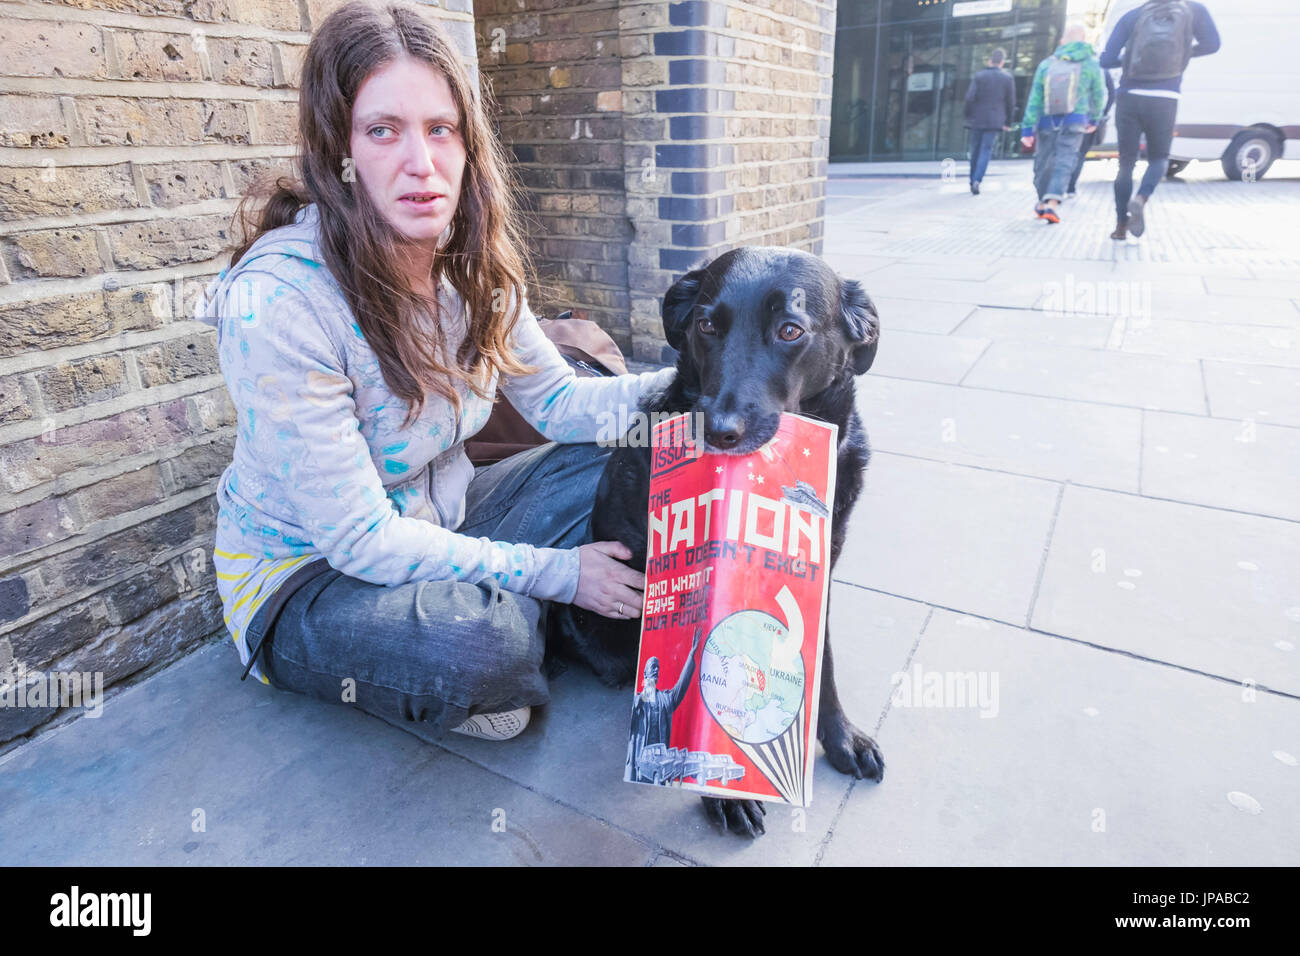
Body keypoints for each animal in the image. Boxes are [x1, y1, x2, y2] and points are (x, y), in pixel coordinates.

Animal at [548, 247, 883, 837]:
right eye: (706, 326)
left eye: (790, 330)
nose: (719, 429)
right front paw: (718, 793)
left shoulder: (820, 570)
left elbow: (824, 659)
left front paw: (842, 738)